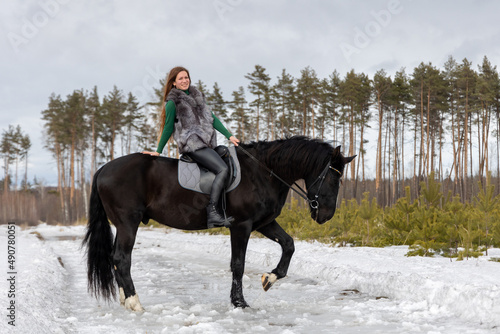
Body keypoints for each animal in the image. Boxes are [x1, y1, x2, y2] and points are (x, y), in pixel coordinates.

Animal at [83, 136, 356, 310]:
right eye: (332, 177)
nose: (326, 215)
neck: (262, 172)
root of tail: (103, 169)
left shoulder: (264, 223)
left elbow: (288, 245)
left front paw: (270, 278)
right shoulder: (241, 226)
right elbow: (238, 264)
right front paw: (239, 302)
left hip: (122, 225)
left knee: (115, 258)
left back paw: (124, 299)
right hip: (128, 223)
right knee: (122, 258)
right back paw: (134, 302)